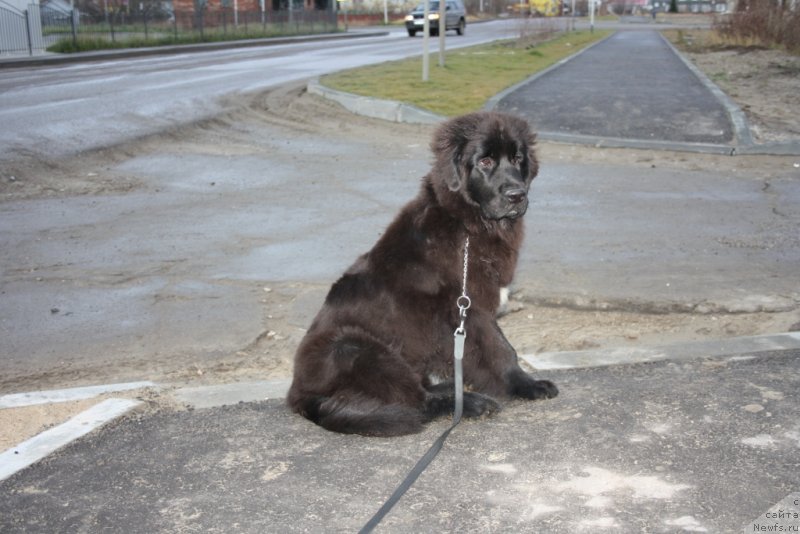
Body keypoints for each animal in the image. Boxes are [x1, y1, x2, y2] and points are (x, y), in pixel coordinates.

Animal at [288, 111, 556, 438]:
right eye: (485, 161)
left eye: (517, 158)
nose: (517, 195)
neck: (467, 223)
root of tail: (298, 396)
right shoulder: (469, 308)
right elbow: (501, 348)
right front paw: (525, 385)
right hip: (355, 349)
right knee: (417, 400)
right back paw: (472, 404)